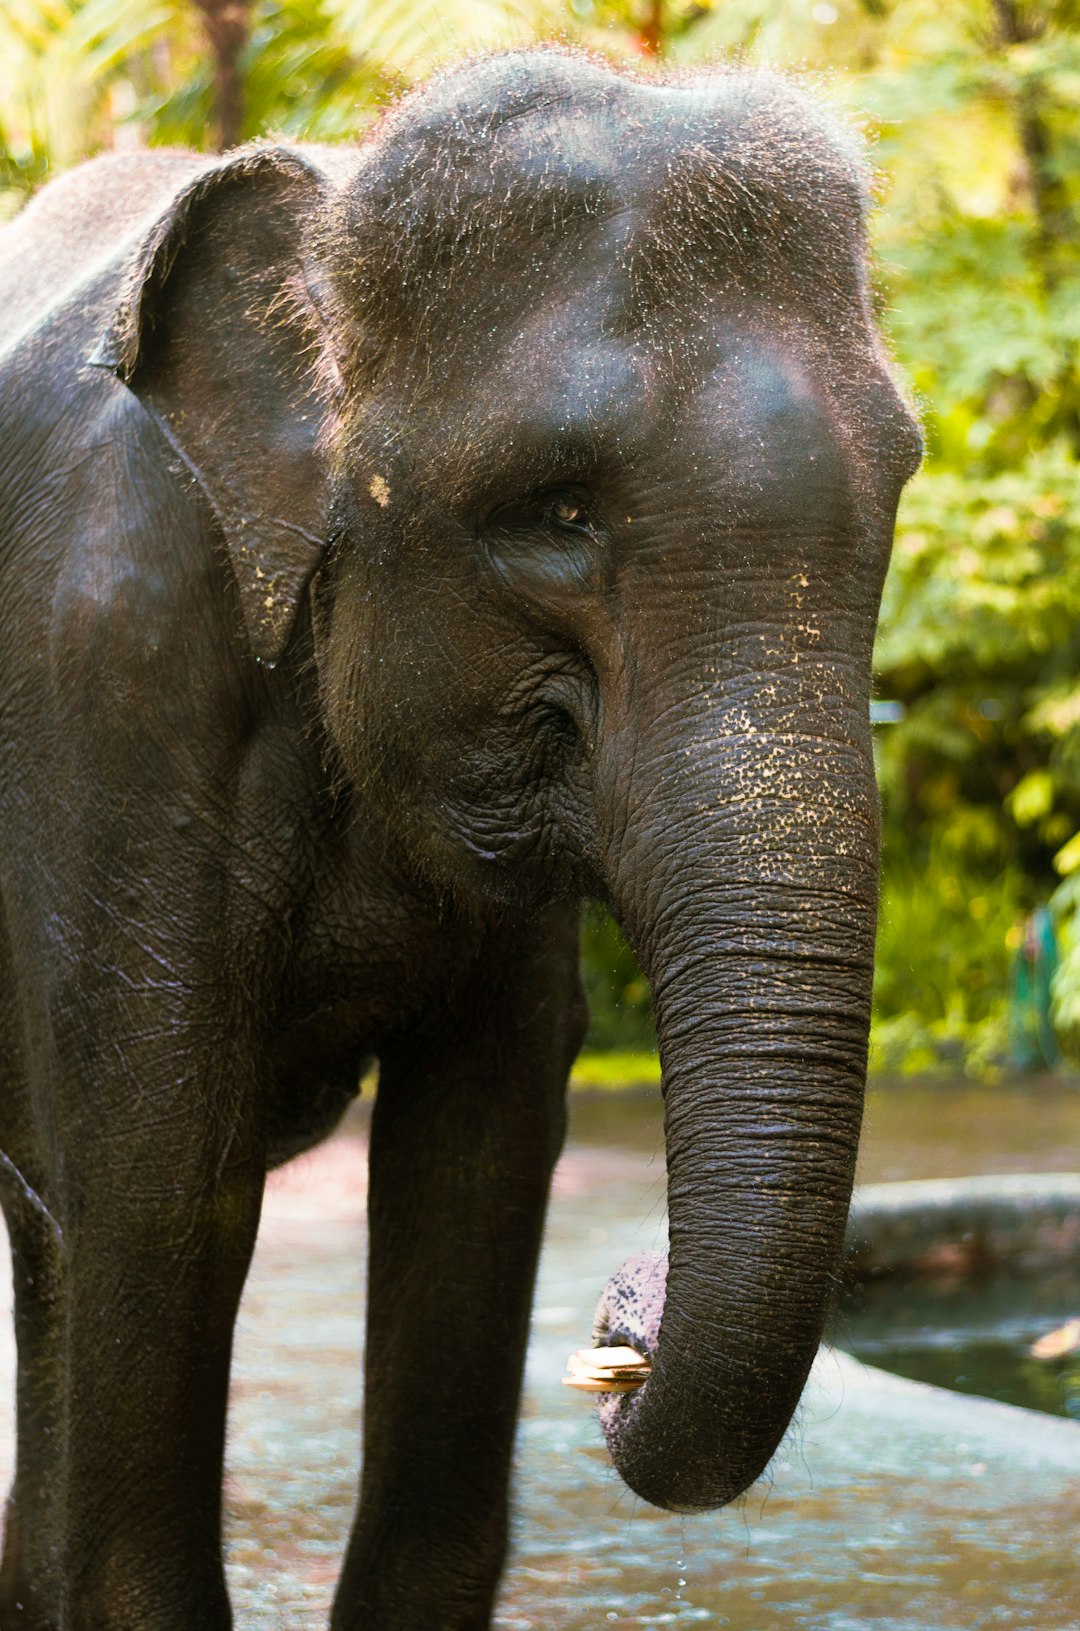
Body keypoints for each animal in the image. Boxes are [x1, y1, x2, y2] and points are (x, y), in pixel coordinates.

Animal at [0, 44, 920, 1624]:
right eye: (556, 513)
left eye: (898, 492)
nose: (622, 1322)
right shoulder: (106, 680)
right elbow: (160, 1193)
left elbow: (479, 1161)